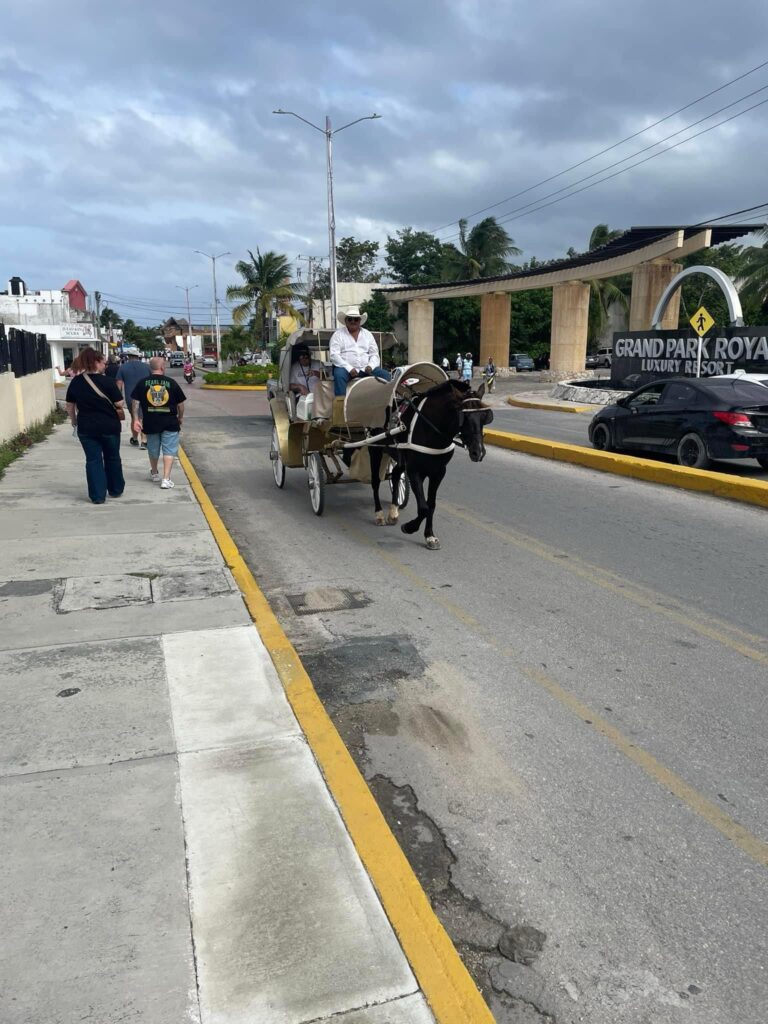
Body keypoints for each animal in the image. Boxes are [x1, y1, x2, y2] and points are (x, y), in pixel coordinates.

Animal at [368, 376, 493, 548]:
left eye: (484, 417)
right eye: (464, 417)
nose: (478, 452)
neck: (430, 429)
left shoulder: (438, 472)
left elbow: (431, 505)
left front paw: (429, 535)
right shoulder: (414, 471)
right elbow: (423, 507)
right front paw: (409, 527)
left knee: (396, 474)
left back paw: (393, 511)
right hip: (374, 450)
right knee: (375, 482)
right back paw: (379, 514)